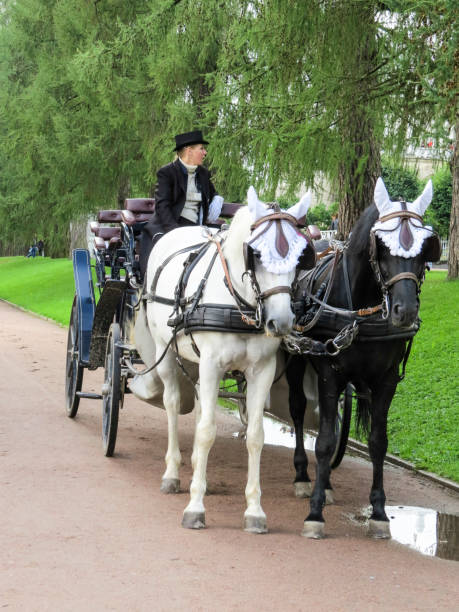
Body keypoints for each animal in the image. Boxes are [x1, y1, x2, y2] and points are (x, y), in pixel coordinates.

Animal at [131, 185, 314, 532]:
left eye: (301, 256)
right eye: (257, 254)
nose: (282, 322)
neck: (237, 302)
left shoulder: (261, 371)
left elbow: (254, 436)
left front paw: (254, 511)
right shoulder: (212, 364)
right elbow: (206, 432)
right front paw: (195, 507)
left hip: (195, 362)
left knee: (200, 404)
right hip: (166, 351)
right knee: (173, 404)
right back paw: (173, 473)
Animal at [288, 178, 442, 540]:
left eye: (426, 249)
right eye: (381, 246)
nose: (404, 311)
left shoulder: (386, 380)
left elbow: (377, 442)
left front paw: (380, 513)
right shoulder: (330, 374)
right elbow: (325, 442)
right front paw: (315, 513)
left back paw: (327, 483)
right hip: (296, 362)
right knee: (299, 410)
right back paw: (303, 476)